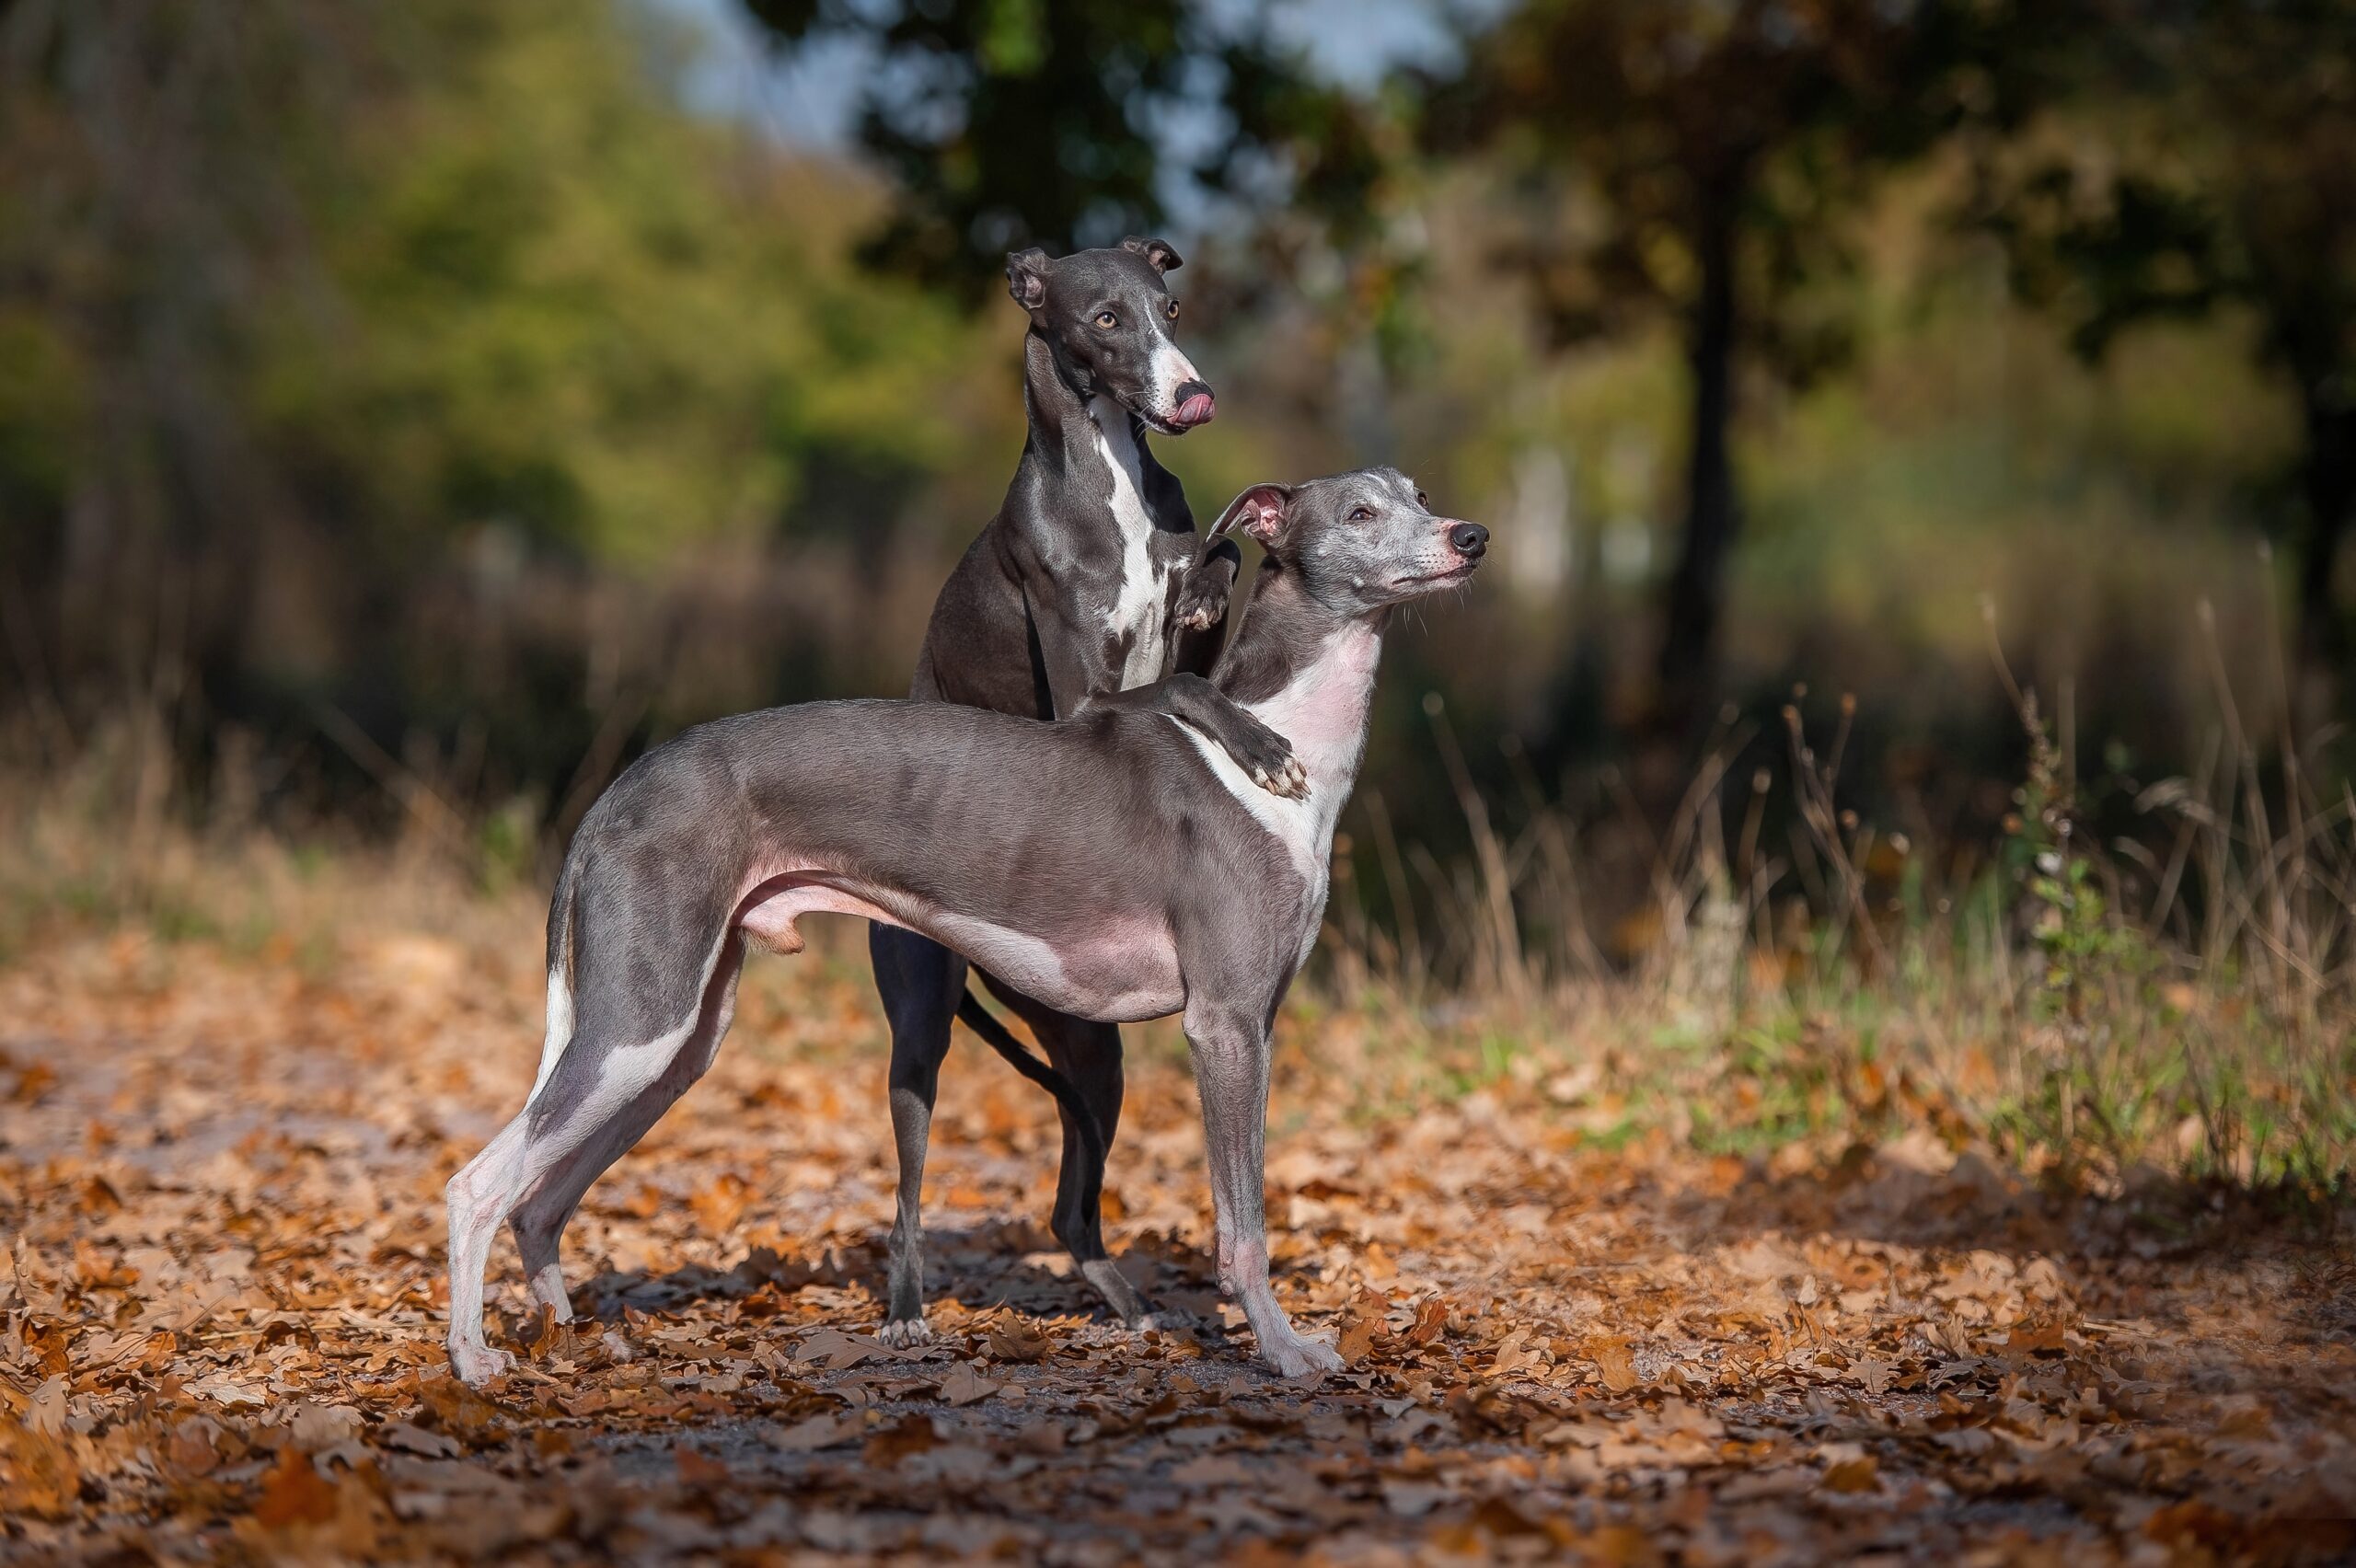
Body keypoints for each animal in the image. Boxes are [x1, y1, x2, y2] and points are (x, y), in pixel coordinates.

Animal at [443, 470, 1488, 1375]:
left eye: (1416, 493)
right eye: (1359, 512)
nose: (1470, 537)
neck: (1284, 741)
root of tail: (614, 796)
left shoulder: (1255, 1021)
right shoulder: (1225, 1026)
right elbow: (1243, 1227)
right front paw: (1282, 1352)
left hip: (680, 1042)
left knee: (542, 1200)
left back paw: (576, 1341)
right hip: (643, 1025)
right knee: (479, 1185)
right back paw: (474, 1360)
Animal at [876, 237, 1300, 1337]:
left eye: (1169, 305)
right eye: (1104, 319)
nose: (1195, 397)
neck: (1108, 483)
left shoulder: (1190, 586)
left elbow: (1218, 564)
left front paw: (1207, 582)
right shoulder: (1083, 695)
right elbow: (1181, 687)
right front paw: (1262, 746)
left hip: (1087, 1045)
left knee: (1072, 1205)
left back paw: (1128, 1306)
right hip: (922, 1031)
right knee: (907, 1188)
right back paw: (904, 1309)